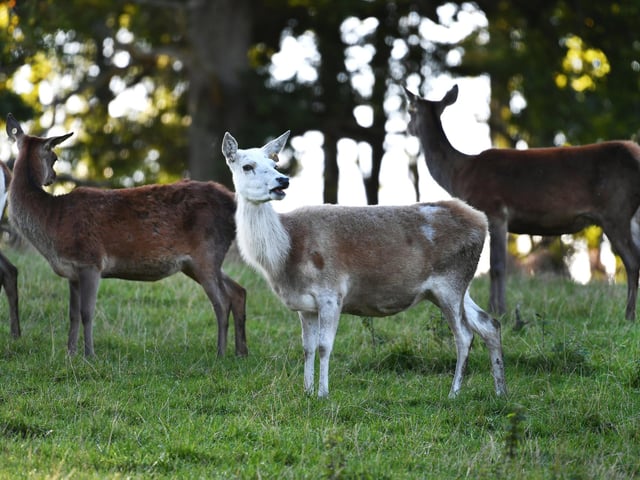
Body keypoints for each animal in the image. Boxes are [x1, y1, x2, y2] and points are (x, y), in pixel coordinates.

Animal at [5, 113, 247, 358]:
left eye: (55, 157)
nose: (53, 177)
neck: (53, 221)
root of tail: (231, 201)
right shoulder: (72, 272)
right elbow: (72, 315)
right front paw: (70, 353)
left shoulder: (90, 261)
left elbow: (86, 312)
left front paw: (89, 355)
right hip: (197, 262)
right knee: (238, 290)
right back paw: (241, 352)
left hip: (206, 252)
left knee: (222, 302)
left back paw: (221, 353)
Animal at [222, 130, 507, 398]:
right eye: (247, 165)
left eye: (274, 163)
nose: (283, 181)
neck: (288, 251)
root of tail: (481, 221)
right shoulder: (305, 304)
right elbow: (307, 348)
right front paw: (307, 391)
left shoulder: (331, 291)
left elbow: (324, 346)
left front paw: (323, 394)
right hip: (458, 286)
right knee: (489, 324)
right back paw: (500, 391)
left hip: (450, 282)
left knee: (465, 335)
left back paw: (454, 393)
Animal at [405, 84, 640, 321]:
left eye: (410, 110)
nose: (407, 128)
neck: (460, 174)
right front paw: (497, 308)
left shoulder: (494, 209)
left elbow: (498, 265)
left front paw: (499, 310)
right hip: (631, 217)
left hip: (615, 211)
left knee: (632, 261)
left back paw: (628, 315)